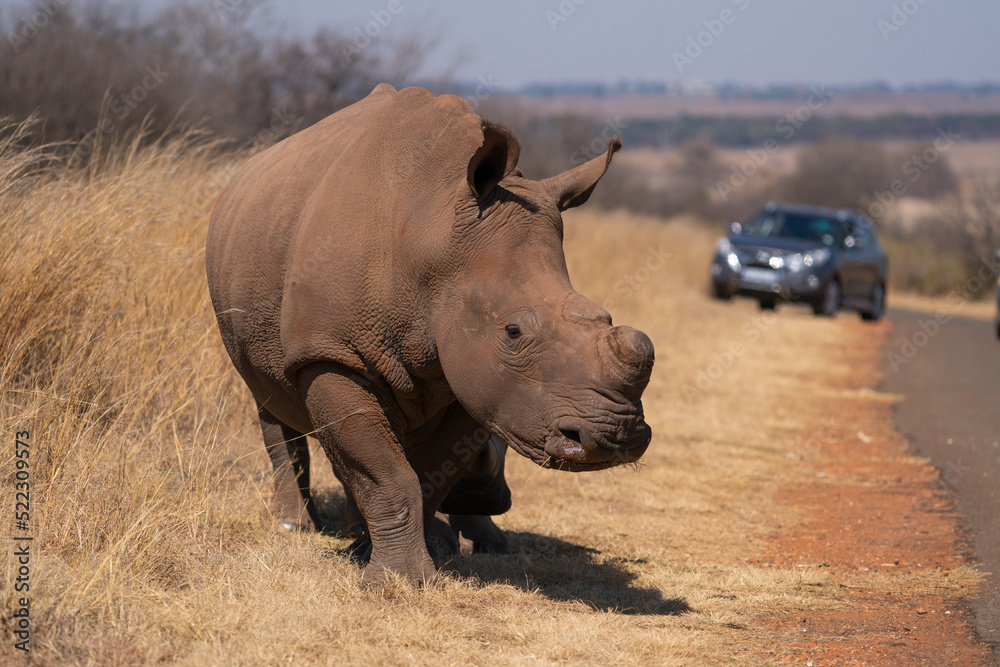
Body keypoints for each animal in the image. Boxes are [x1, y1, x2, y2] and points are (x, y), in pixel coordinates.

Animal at [206, 83, 654, 586]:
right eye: (513, 332)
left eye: (605, 317)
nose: (616, 435)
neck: (434, 237)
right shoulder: (330, 353)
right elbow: (383, 470)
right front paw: (397, 581)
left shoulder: (482, 380)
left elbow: (427, 474)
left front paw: (385, 557)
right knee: (269, 400)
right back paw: (294, 527)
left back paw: (356, 535)